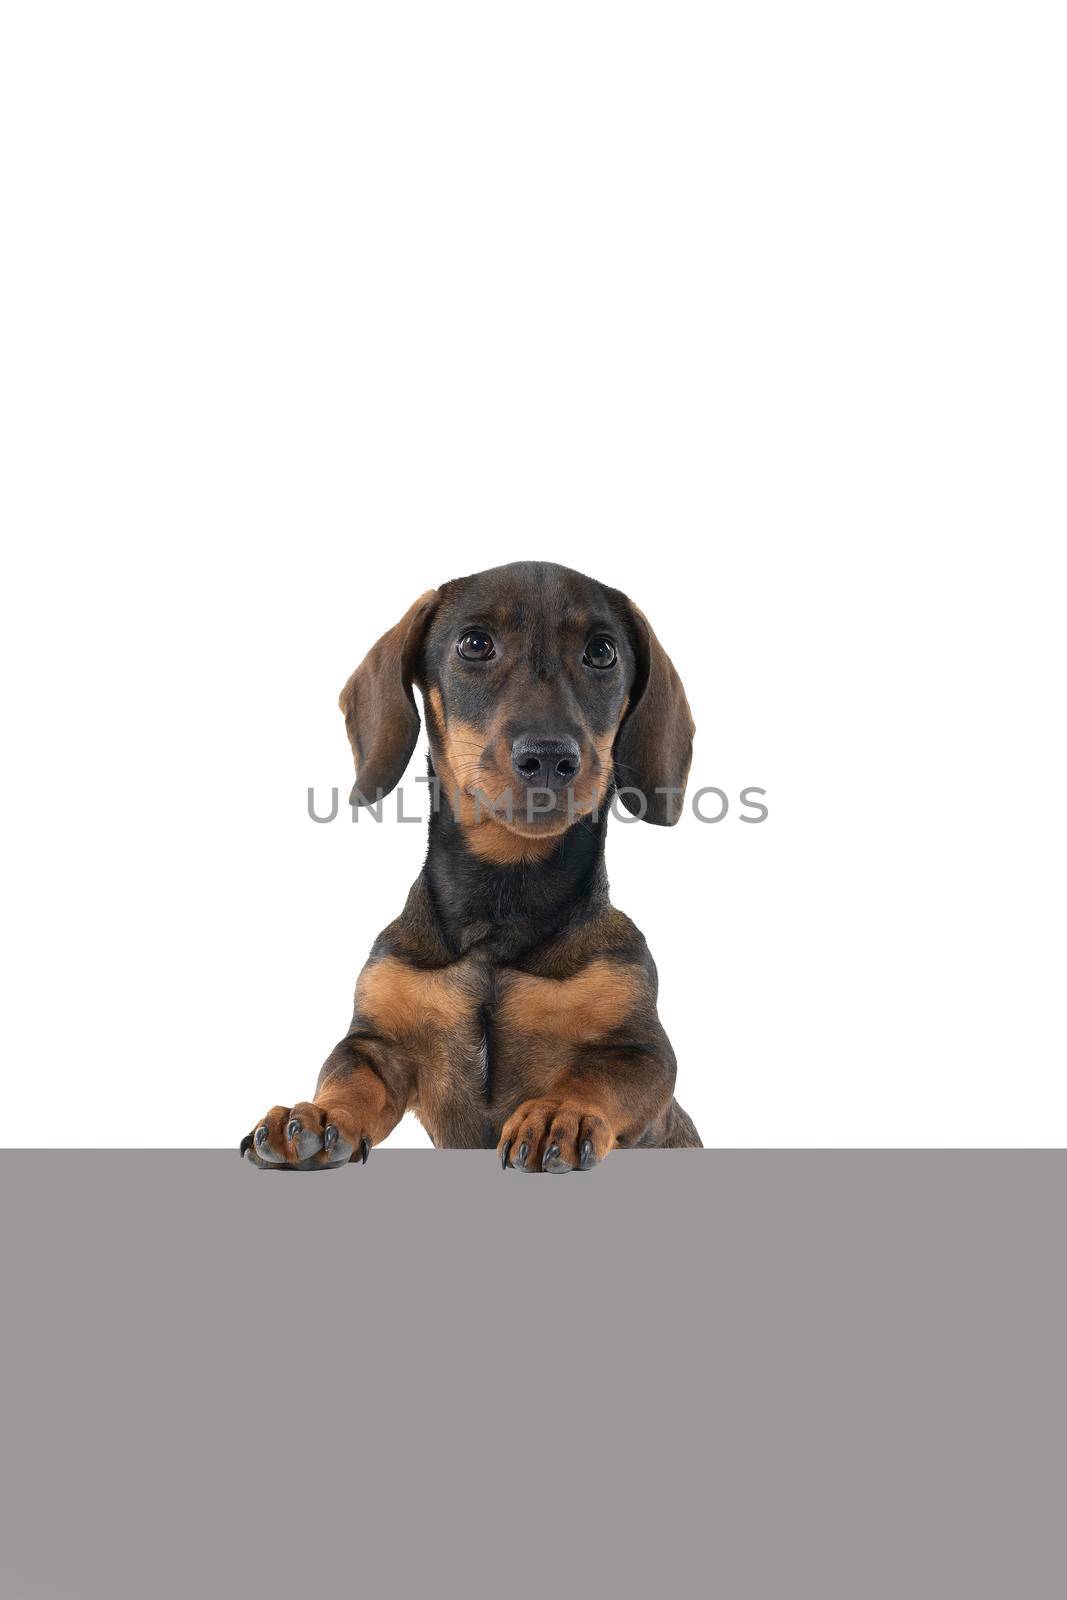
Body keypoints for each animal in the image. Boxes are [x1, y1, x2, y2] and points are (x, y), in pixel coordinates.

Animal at [246, 566, 703, 1177]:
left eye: (602, 652)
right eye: (475, 644)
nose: (550, 757)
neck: (501, 904)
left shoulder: (641, 1052)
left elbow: (593, 1078)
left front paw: (558, 1113)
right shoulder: (376, 1045)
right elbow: (351, 1079)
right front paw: (318, 1116)